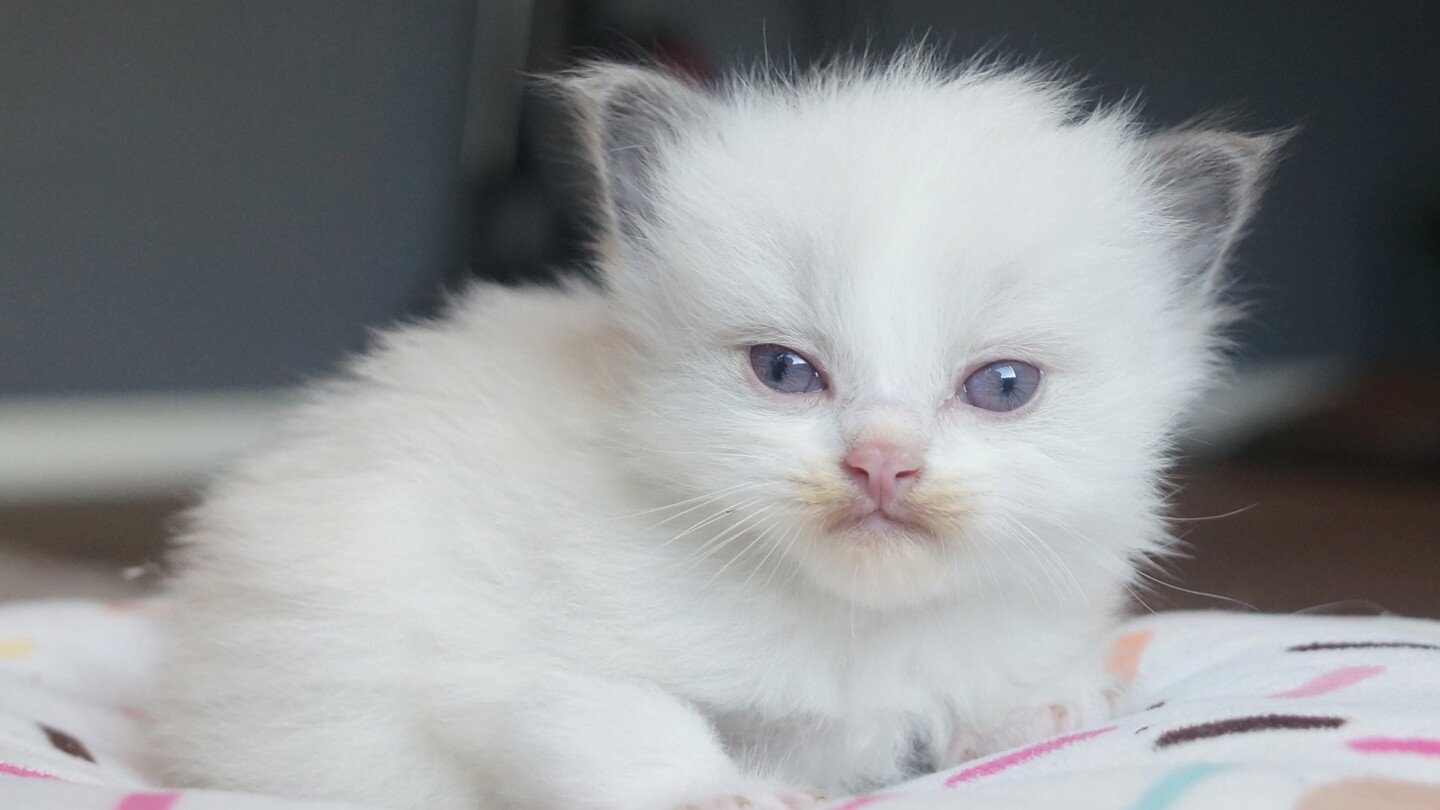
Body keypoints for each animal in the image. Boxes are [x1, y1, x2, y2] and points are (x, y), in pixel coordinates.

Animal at [149, 55, 1284, 807]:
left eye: (1002, 386)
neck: (854, 629)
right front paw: (740, 791)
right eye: (784, 372)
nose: (881, 462)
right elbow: (638, 727)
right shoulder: (520, 672)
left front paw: (1052, 708)